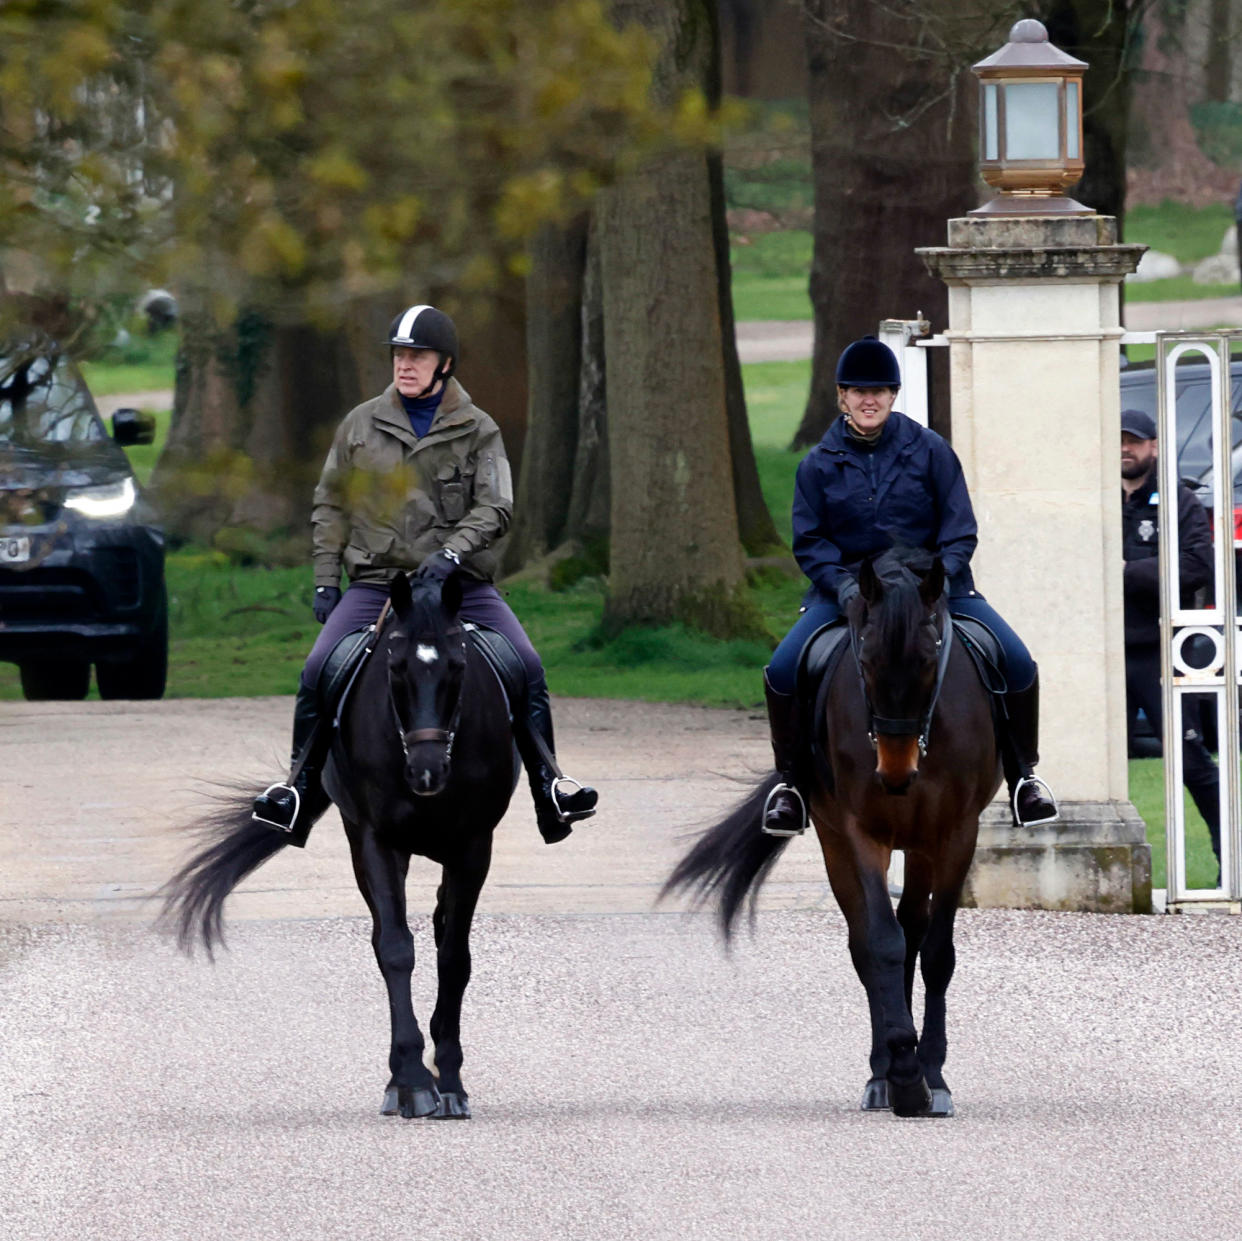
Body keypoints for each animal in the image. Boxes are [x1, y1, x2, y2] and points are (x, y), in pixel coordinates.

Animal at [162, 571, 516, 1118]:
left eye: (458, 666)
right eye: (395, 667)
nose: (426, 772)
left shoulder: (474, 845)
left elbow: (455, 958)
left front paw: (451, 1080)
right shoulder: (376, 839)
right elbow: (396, 949)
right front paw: (413, 1082)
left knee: (441, 927)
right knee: (386, 936)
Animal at [665, 549, 1003, 1122]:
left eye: (929, 660)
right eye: (864, 664)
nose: (895, 774)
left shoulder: (957, 833)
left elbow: (936, 952)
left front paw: (932, 1077)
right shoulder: (861, 831)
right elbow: (882, 945)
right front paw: (903, 1076)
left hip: (920, 845)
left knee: (914, 929)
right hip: (835, 840)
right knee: (868, 944)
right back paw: (882, 1074)